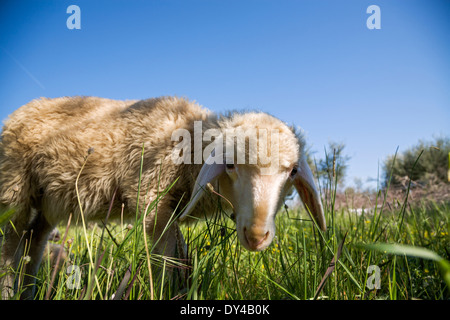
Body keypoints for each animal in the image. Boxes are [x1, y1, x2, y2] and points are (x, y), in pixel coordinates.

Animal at [0, 96, 324, 298]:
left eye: (293, 170)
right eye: (230, 164)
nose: (257, 235)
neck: (189, 146)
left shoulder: (172, 211)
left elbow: (181, 258)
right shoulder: (152, 198)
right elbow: (167, 262)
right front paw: (168, 292)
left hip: (48, 201)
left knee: (33, 240)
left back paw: (27, 292)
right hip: (14, 188)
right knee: (10, 245)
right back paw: (8, 290)